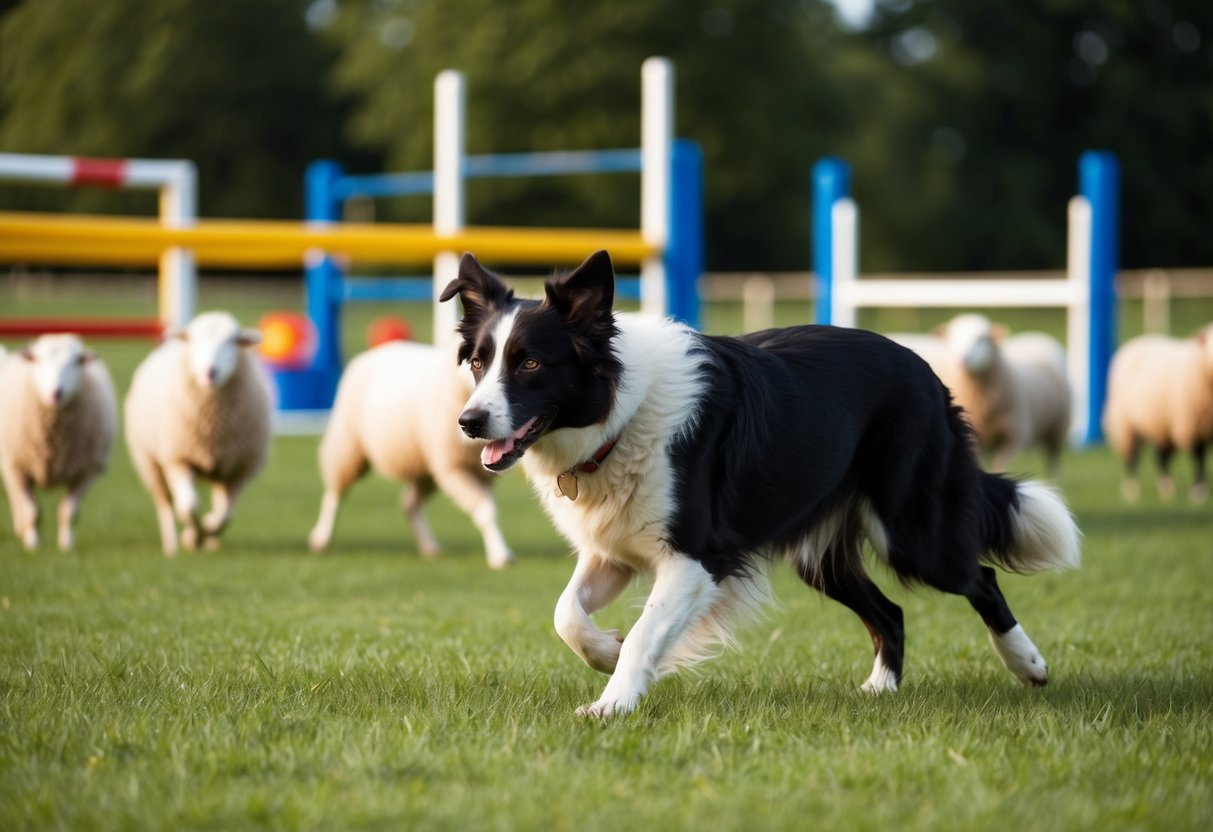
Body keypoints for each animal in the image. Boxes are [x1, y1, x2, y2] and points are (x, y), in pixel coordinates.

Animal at [0, 334, 117, 550]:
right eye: (38, 360)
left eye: (77, 361)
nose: (56, 393)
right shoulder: (16, 467)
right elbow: (31, 511)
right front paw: (33, 544)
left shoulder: (87, 471)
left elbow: (69, 512)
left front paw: (66, 545)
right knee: (18, 503)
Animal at [125, 311, 272, 555]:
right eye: (195, 340)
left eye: (233, 341)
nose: (210, 372)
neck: (213, 426)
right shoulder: (178, 459)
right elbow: (189, 506)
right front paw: (193, 538)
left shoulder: (238, 469)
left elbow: (225, 516)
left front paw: (208, 528)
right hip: (151, 464)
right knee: (165, 504)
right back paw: (172, 545)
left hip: (221, 469)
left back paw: (211, 541)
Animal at [307, 340, 514, 569]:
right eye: (477, 363)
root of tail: (379, 350)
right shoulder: (453, 467)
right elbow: (486, 511)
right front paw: (499, 555)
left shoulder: (479, 472)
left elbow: (490, 510)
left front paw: (498, 550)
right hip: (348, 445)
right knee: (335, 493)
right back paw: (322, 537)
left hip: (426, 469)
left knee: (409, 504)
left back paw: (428, 545)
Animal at [894, 313, 1072, 474]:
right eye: (953, 339)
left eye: (982, 339)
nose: (962, 360)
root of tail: (1038, 335)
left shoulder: (1012, 436)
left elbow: (1000, 465)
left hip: (1057, 429)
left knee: (1053, 461)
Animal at [1102, 324, 1213, 503]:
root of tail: (1139, 340)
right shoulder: (1193, 425)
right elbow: (1199, 457)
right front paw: (1199, 491)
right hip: (1126, 423)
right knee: (1132, 455)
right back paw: (1132, 489)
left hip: (1158, 423)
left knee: (1161, 455)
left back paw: (1166, 486)